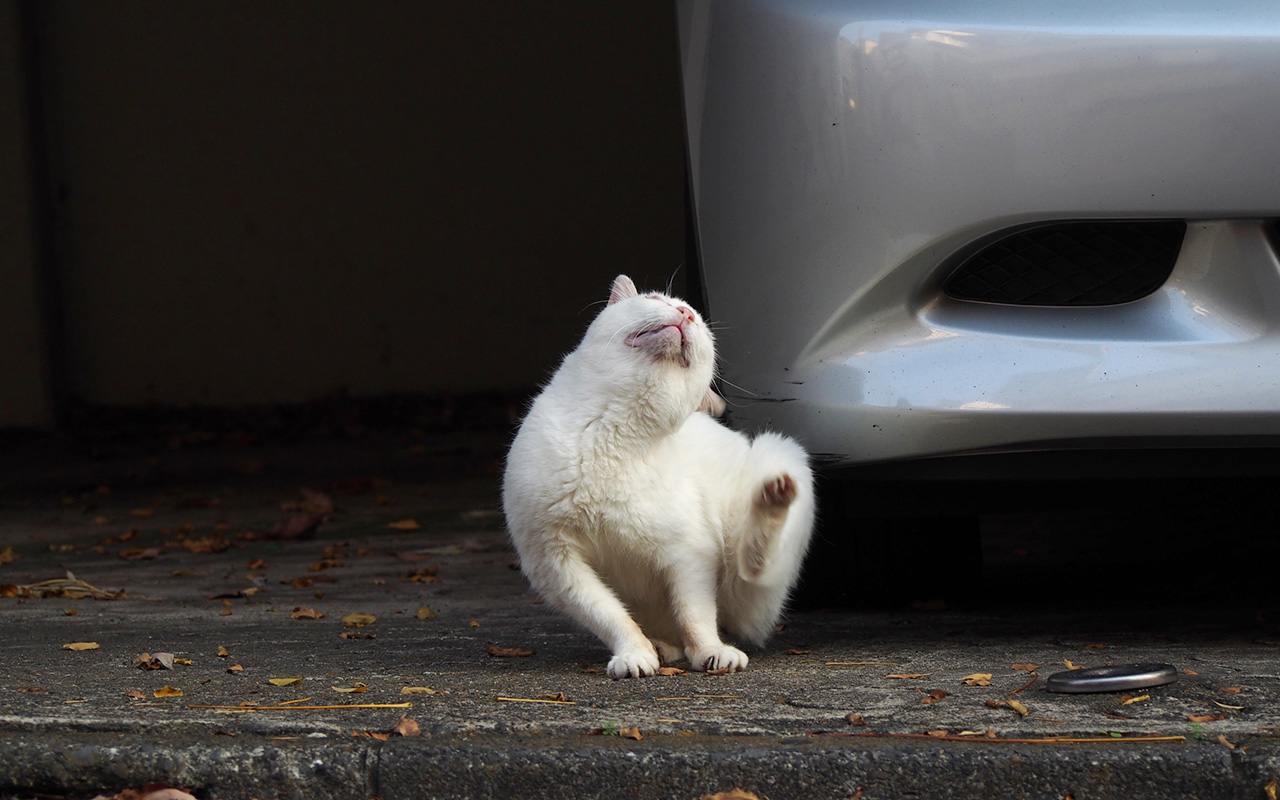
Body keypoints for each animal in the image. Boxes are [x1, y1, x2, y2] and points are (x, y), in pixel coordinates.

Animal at [501, 277, 814, 675]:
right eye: (656, 299)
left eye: (699, 325)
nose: (684, 313)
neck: (610, 432)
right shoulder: (556, 562)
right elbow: (610, 616)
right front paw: (635, 654)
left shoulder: (689, 553)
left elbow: (696, 615)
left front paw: (710, 652)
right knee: (664, 629)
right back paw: (663, 649)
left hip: (779, 457)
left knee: (750, 568)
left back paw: (773, 496)